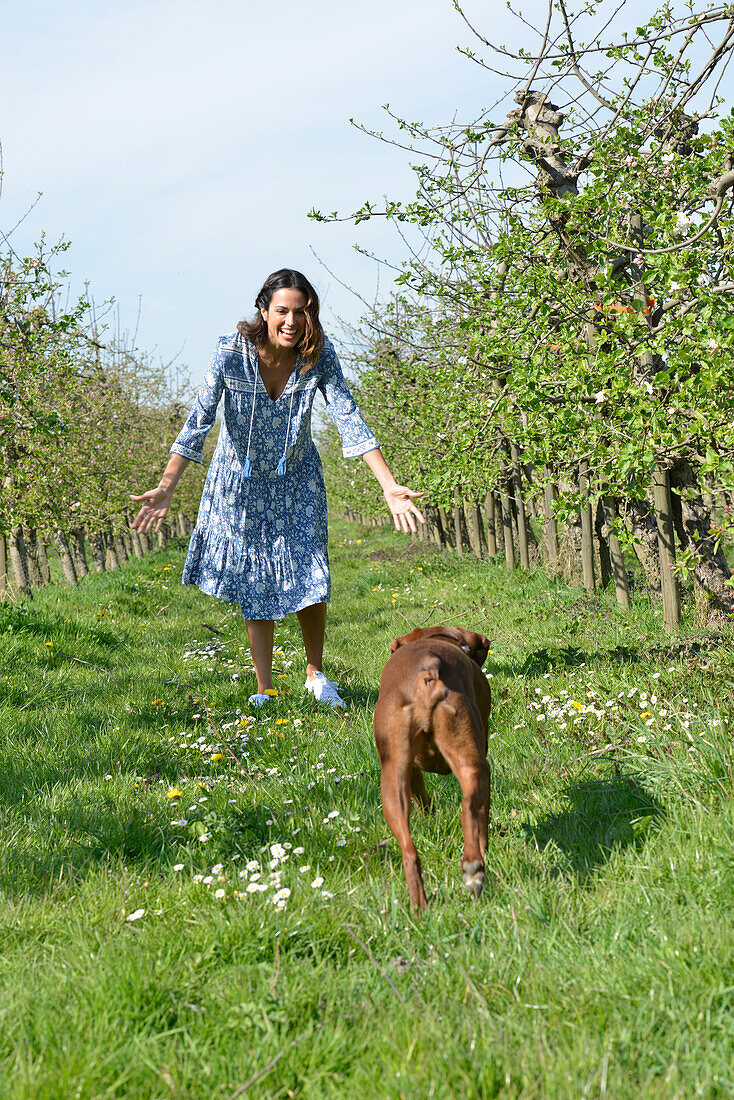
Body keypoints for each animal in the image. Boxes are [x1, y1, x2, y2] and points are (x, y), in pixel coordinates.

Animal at [374, 629, 493, 910]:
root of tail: (426, 673)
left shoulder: (411, 772)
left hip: (392, 783)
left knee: (409, 851)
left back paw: (420, 908)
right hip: (475, 763)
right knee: (470, 808)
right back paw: (474, 867)